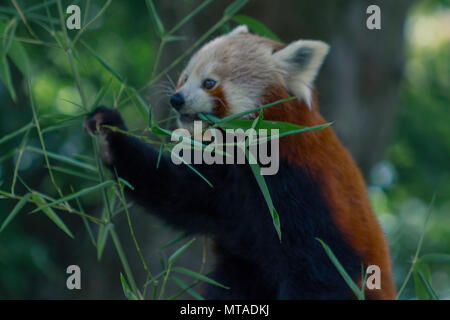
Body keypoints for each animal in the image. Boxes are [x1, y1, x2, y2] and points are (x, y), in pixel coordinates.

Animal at [84, 25, 394, 300]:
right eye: (184, 77)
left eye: (209, 82)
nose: (176, 99)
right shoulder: (224, 186)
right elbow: (175, 193)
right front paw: (109, 134)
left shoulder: (306, 191)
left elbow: (322, 272)